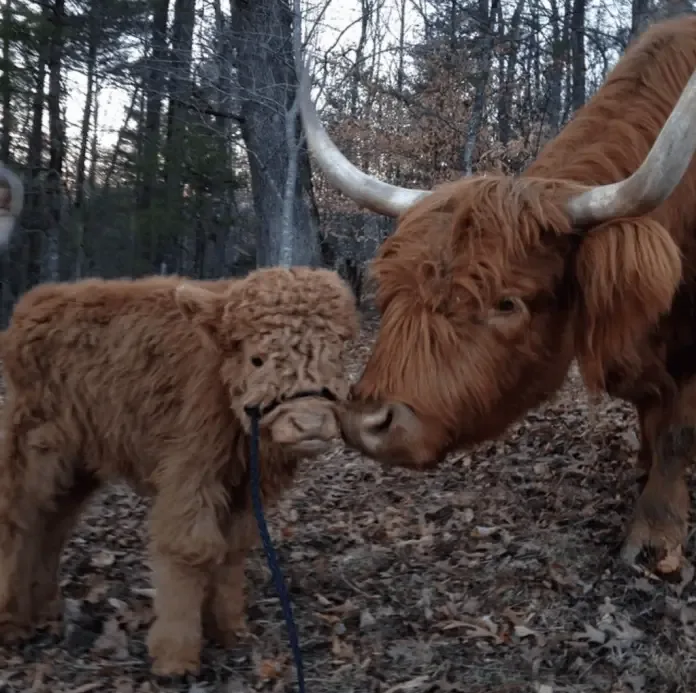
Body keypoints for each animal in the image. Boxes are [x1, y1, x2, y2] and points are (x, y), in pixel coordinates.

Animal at [0, 266, 358, 676]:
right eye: (257, 359)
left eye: (338, 351)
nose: (310, 424)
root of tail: (35, 303)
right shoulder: (191, 472)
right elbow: (190, 550)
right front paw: (176, 657)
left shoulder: (243, 490)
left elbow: (232, 550)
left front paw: (229, 629)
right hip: (33, 448)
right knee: (19, 521)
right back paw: (12, 623)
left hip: (79, 464)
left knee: (54, 525)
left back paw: (47, 610)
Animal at [300, 18, 696, 572]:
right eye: (392, 292)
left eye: (507, 303)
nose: (366, 424)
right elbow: (651, 414)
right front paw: (643, 472)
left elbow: (677, 433)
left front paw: (658, 535)